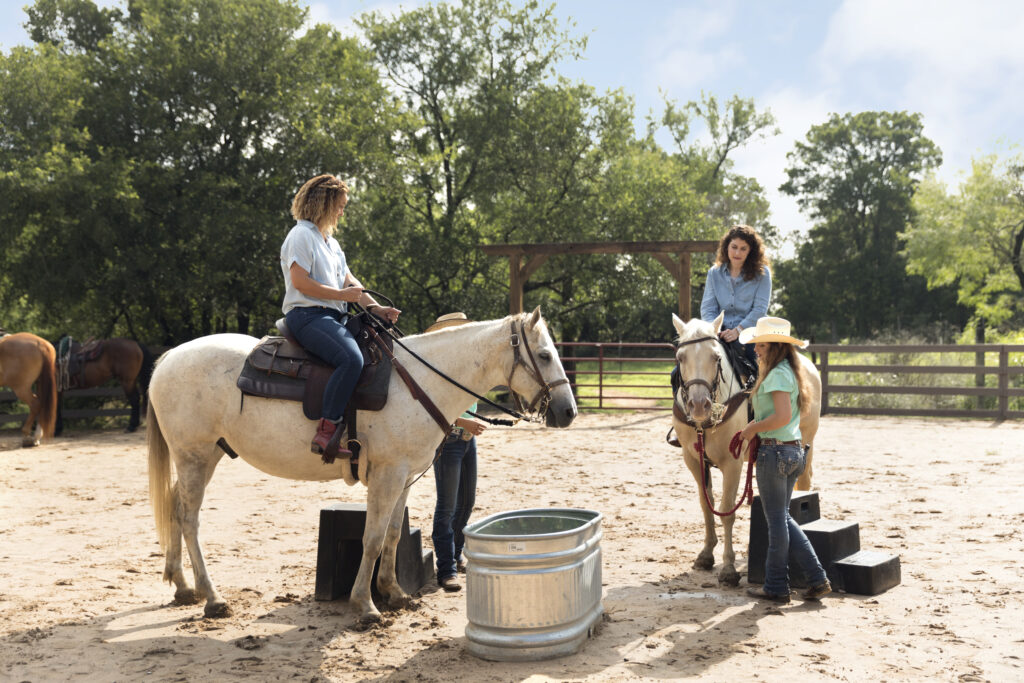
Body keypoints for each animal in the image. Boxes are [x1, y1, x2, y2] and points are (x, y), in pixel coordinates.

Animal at [146, 309, 577, 626]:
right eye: (544, 355)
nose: (568, 411)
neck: (418, 383)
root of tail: (169, 357)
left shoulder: (404, 476)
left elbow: (391, 535)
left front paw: (394, 592)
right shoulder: (386, 476)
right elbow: (371, 538)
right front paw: (365, 605)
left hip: (206, 456)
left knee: (174, 508)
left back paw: (182, 585)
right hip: (194, 455)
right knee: (189, 518)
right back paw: (212, 597)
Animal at [671, 313, 823, 585]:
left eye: (716, 357)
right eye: (681, 357)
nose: (699, 405)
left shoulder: (732, 464)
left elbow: (726, 510)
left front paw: (729, 568)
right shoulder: (693, 460)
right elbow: (706, 504)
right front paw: (706, 554)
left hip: (807, 439)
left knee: (804, 482)